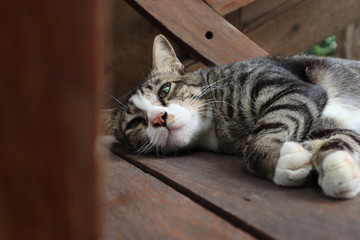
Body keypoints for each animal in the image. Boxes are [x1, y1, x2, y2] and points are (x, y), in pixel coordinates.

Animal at [107, 33, 360, 199]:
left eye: (165, 90)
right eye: (135, 122)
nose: (159, 118)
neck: (215, 127)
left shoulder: (295, 90)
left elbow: (267, 130)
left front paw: (276, 154)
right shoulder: (326, 123)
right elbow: (341, 138)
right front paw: (334, 165)